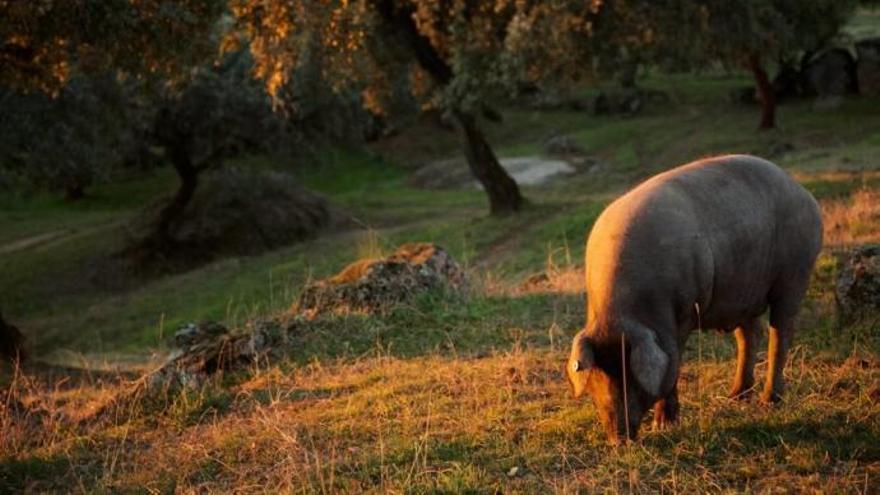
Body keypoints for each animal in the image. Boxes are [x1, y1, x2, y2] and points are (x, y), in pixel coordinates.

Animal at [568, 155, 820, 446]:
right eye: (597, 375)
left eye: (631, 374)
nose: (618, 439)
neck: (622, 310)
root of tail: (804, 193)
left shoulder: (684, 313)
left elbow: (675, 364)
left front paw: (663, 426)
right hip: (742, 294)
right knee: (750, 334)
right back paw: (736, 397)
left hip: (795, 272)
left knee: (781, 331)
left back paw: (769, 402)